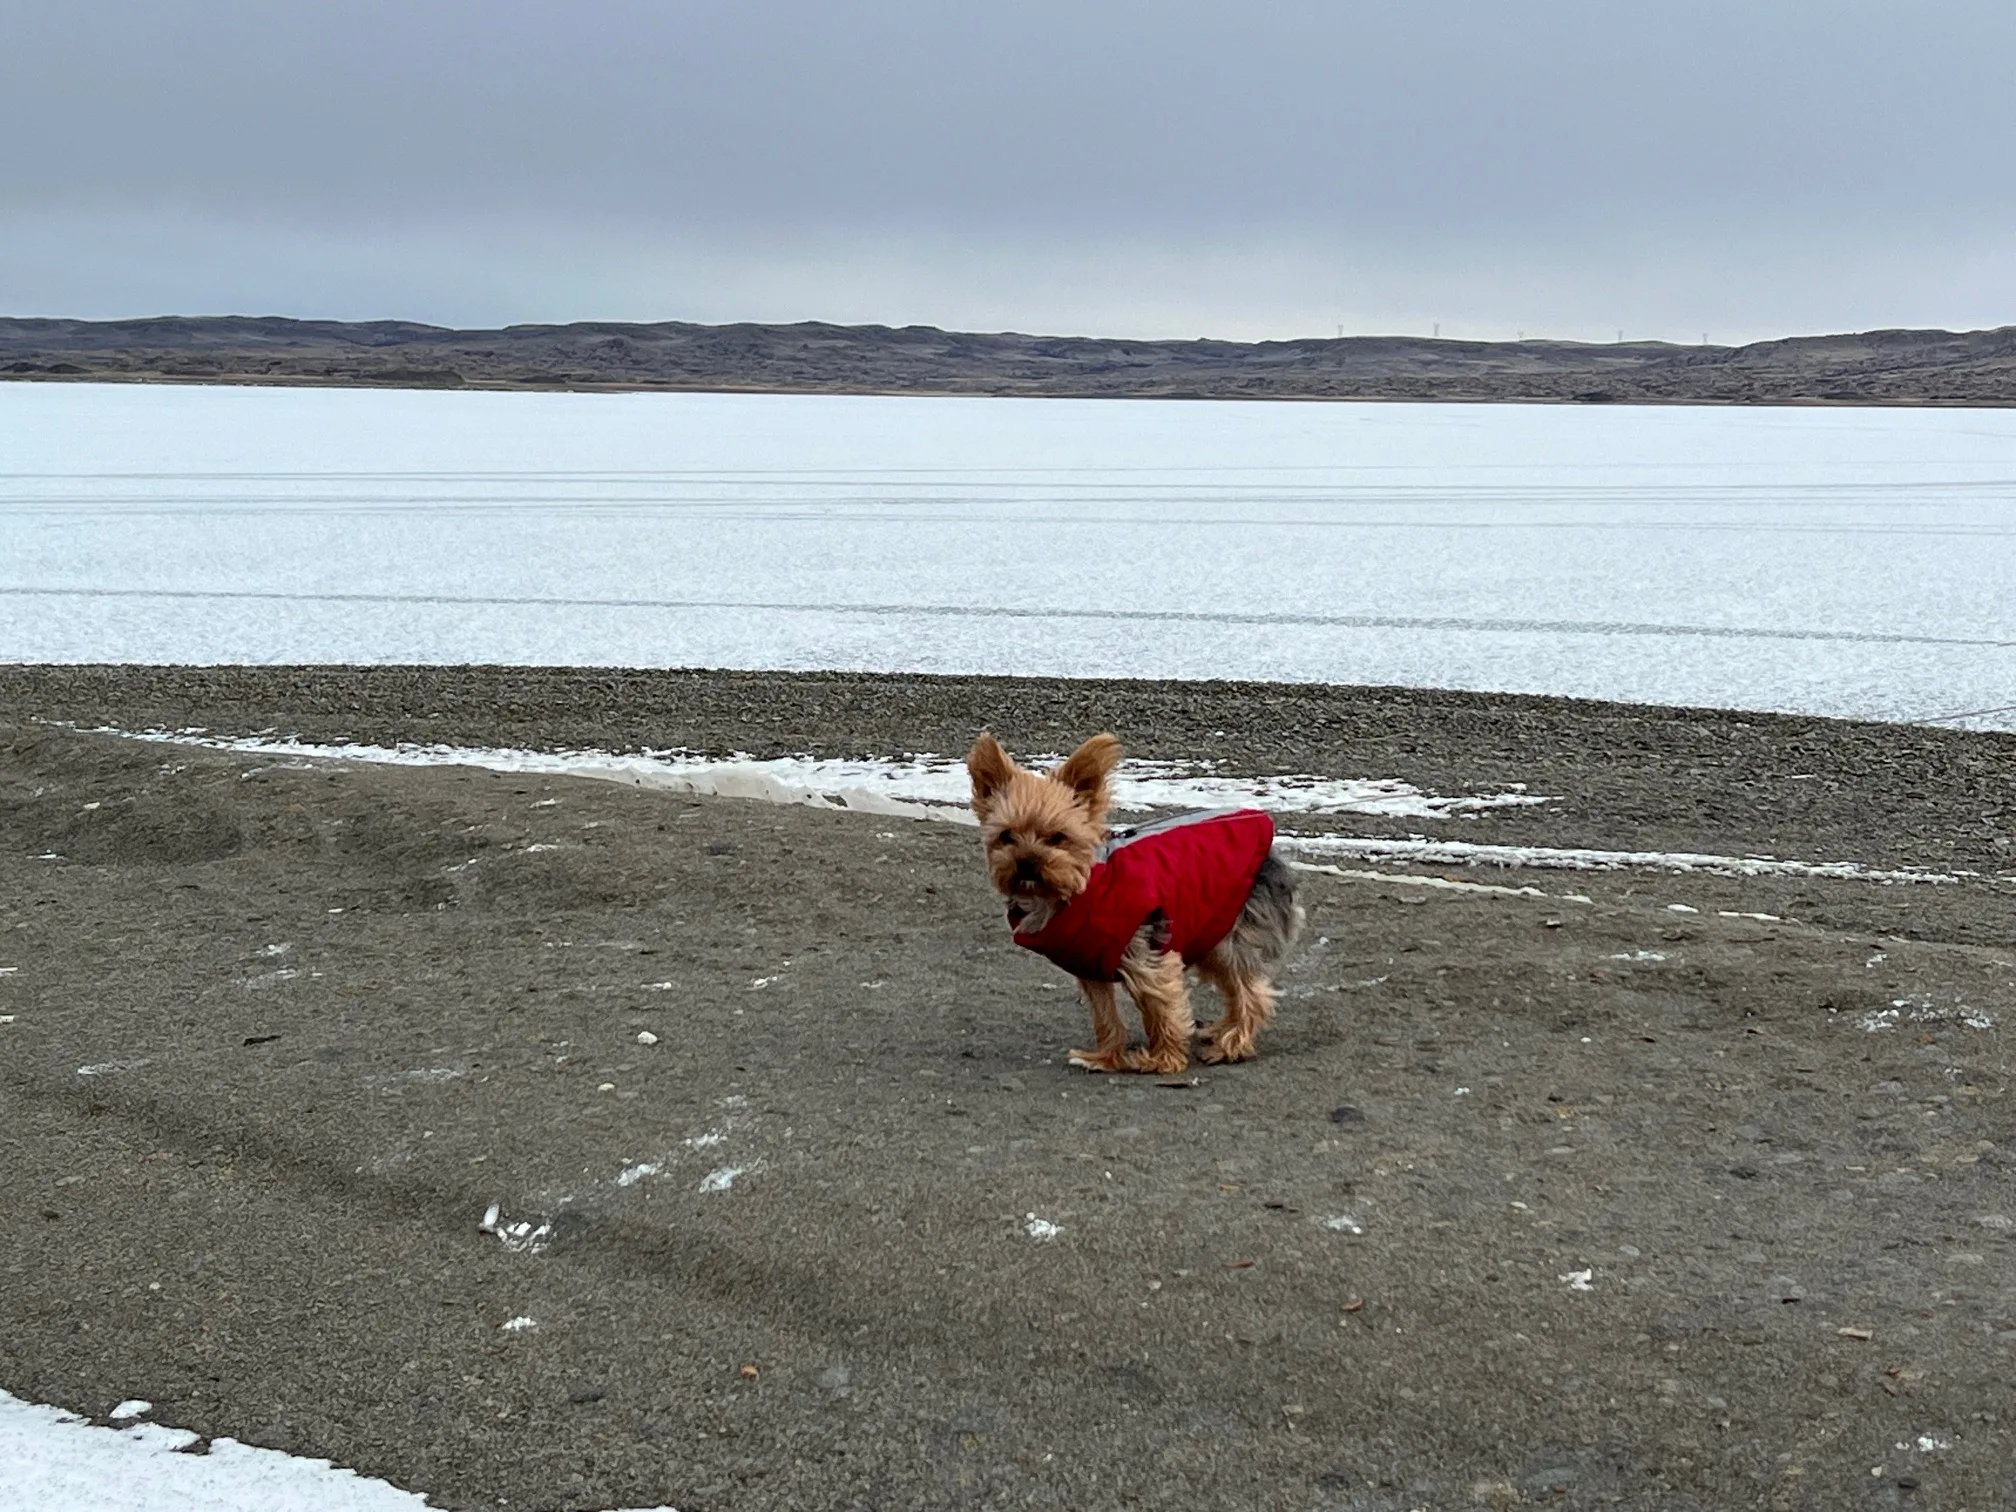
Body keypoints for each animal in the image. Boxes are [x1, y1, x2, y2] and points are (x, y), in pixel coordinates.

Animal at [971, 733, 1306, 1080]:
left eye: (1057, 837)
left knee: (1251, 994)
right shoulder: (1090, 968)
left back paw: (1231, 1046)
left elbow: (1161, 1008)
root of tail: (1274, 856)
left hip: (1231, 933)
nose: (1026, 863)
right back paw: (1221, 1030)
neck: (1077, 891)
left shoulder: (1147, 958)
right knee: (1236, 987)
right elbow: (1105, 1017)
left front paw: (1163, 1060)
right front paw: (1105, 1057)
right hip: (1211, 930)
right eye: (1006, 836)